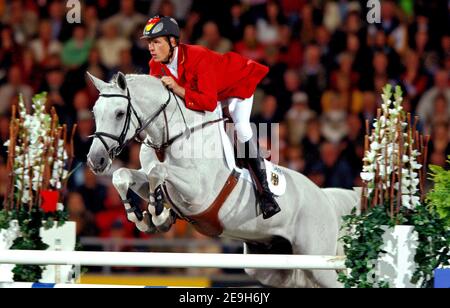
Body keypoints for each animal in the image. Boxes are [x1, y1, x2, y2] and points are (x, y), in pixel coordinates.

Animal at [85, 73, 358, 288]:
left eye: (120, 113)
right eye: (95, 112)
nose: (96, 160)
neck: (170, 136)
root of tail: (325, 197)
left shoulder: (198, 191)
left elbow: (158, 172)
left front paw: (158, 214)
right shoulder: (149, 177)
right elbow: (124, 175)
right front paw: (142, 217)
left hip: (317, 260)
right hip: (272, 264)